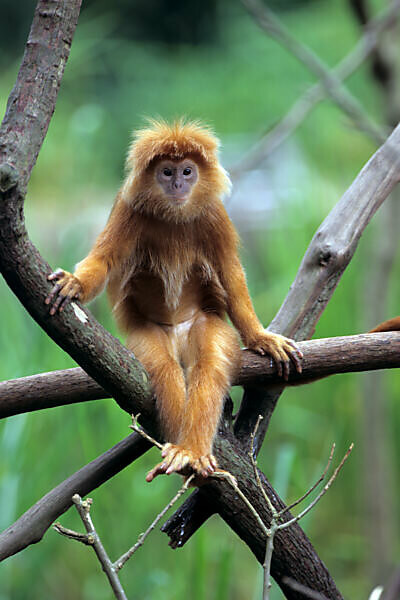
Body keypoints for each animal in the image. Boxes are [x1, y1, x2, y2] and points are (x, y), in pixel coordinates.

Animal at [45, 119, 304, 480]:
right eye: (167, 172)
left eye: (187, 171)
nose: (178, 184)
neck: (173, 216)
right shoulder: (128, 209)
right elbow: (104, 261)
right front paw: (76, 282)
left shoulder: (214, 215)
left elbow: (231, 275)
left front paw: (260, 338)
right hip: (148, 336)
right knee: (166, 369)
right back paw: (182, 452)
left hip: (204, 323)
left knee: (209, 367)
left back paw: (190, 451)